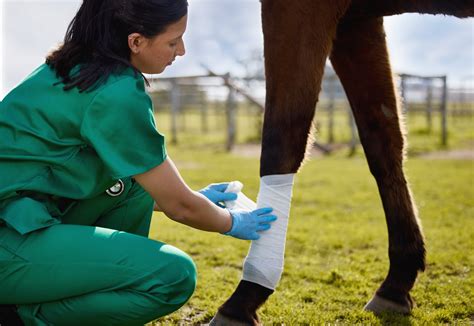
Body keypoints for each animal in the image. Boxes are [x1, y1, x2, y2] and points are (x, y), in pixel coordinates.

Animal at [211, 0, 474, 326]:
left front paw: (243, 299)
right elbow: (382, 138)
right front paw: (396, 284)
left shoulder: (298, 9)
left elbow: (282, 138)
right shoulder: (357, 21)